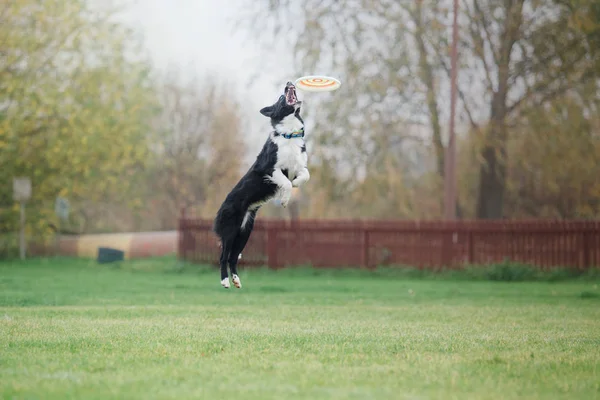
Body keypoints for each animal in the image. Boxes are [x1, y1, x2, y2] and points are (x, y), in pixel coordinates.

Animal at [213, 82, 310, 288]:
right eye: (281, 98)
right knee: (223, 256)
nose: (289, 83)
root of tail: (219, 210)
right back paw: (225, 281)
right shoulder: (269, 168)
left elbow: (305, 175)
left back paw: (236, 280)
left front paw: (296, 184)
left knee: (233, 257)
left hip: (245, 232)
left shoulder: (299, 166)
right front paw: (284, 199)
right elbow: (284, 182)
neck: (289, 135)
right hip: (230, 230)